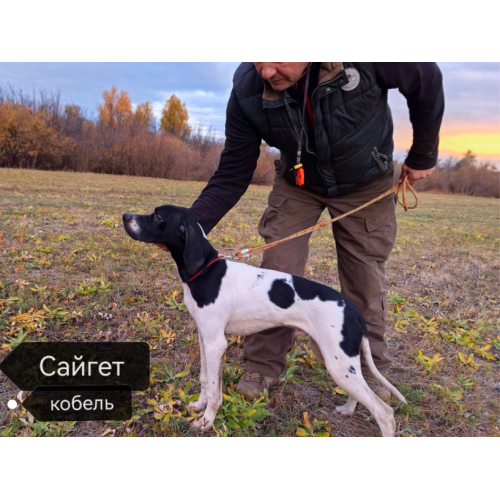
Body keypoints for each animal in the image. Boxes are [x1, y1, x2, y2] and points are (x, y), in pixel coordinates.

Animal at [122, 205, 406, 436]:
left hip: (338, 364)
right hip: (335, 359)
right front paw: (199, 407)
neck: (206, 271)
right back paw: (347, 409)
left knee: (384, 413)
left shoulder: (216, 344)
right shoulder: (205, 338)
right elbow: (205, 380)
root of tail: (353, 309)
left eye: (159, 216)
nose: (125, 216)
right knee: (361, 394)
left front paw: (207, 421)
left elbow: (214, 389)